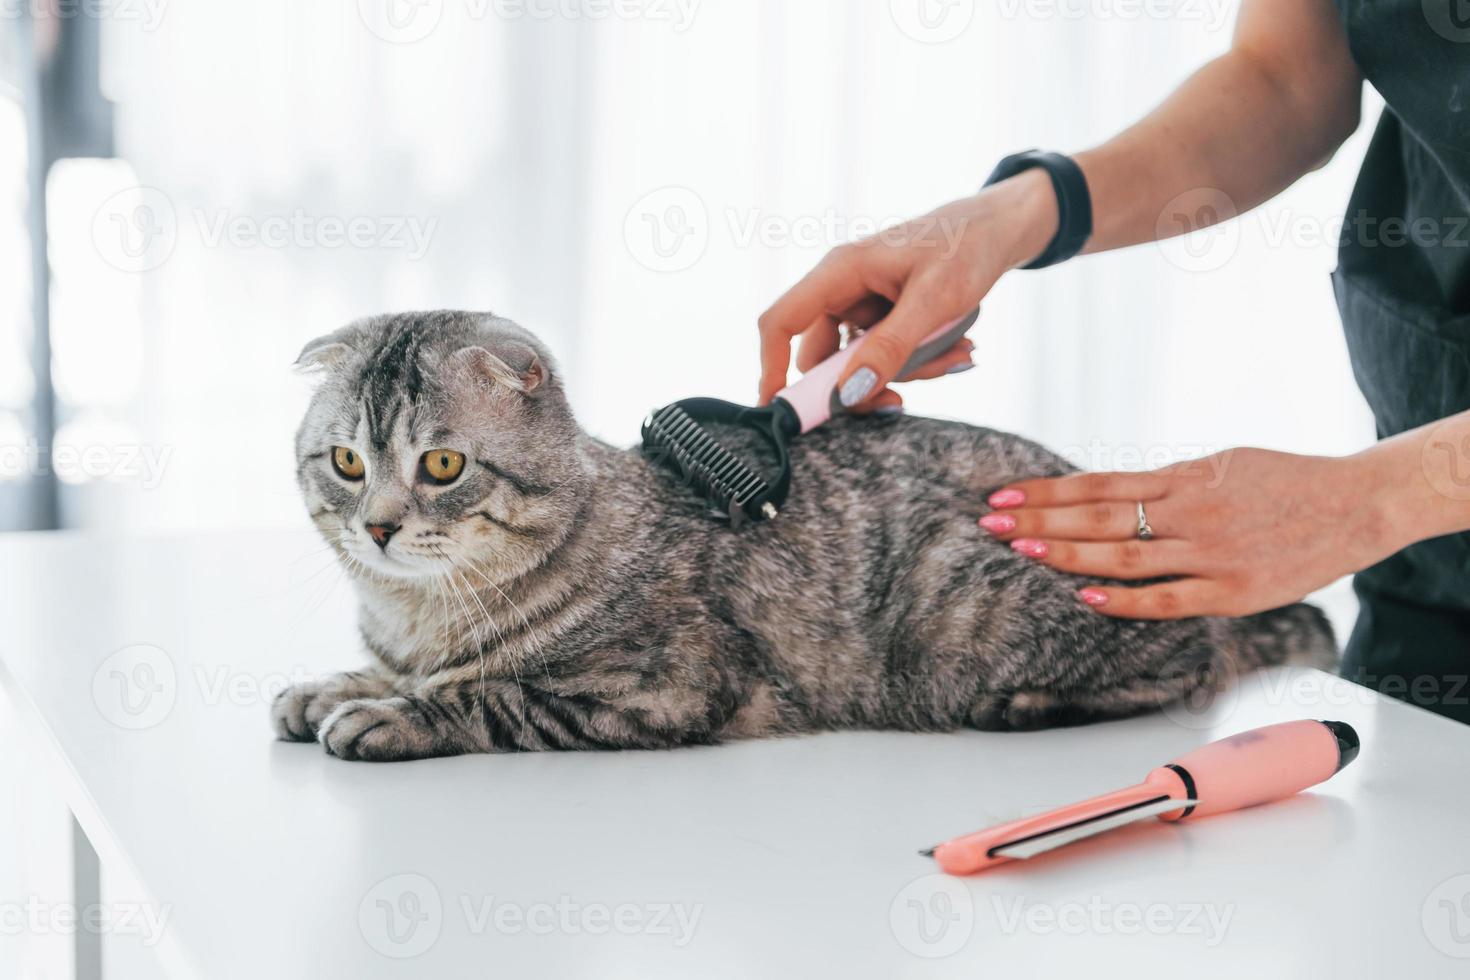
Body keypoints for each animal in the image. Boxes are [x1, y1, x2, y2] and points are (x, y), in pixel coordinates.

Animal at [273, 310, 1334, 764]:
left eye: (444, 466)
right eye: (348, 462)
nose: (378, 527)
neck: (413, 611)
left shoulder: (669, 689)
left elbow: (487, 695)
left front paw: (389, 714)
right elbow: (396, 670)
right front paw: (333, 685)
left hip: (959, 606)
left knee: (1191, 665)